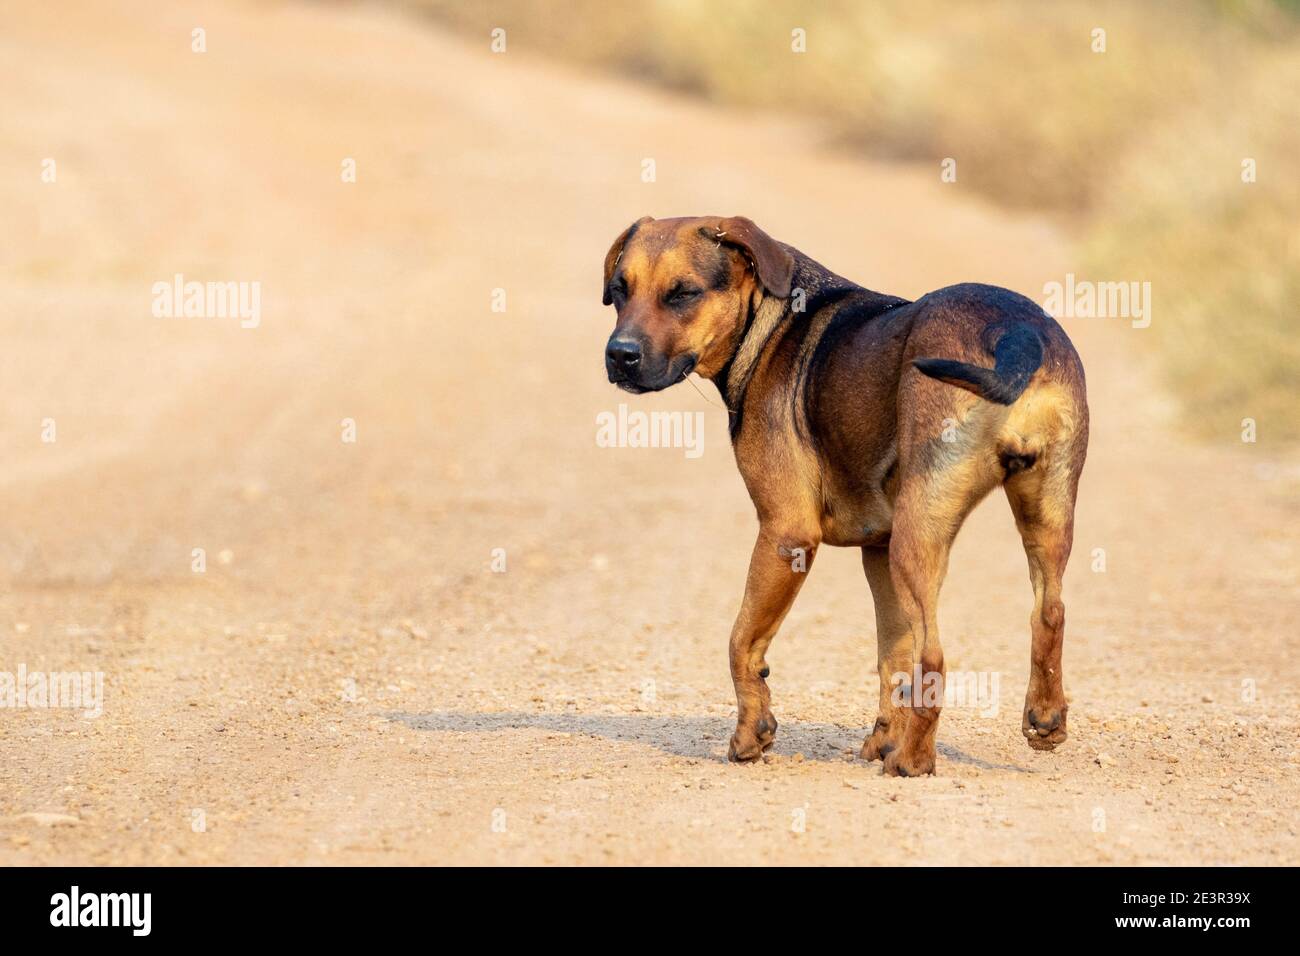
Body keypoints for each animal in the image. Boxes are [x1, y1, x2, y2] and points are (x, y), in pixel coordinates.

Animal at [598, 217, 1086, 780]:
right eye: (619, 291)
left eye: (683, 293)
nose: (619, 355)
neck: (768, 324)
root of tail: (1016, 335)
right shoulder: (877, 552)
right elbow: (891, 660)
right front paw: (883, 737)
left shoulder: (786, 533)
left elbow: (742, 642)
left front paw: (751, 736)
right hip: (1044, 516)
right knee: (1050, 614)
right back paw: (1043, 718)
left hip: (918, 535)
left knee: (935, 658)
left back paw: (913, 761)